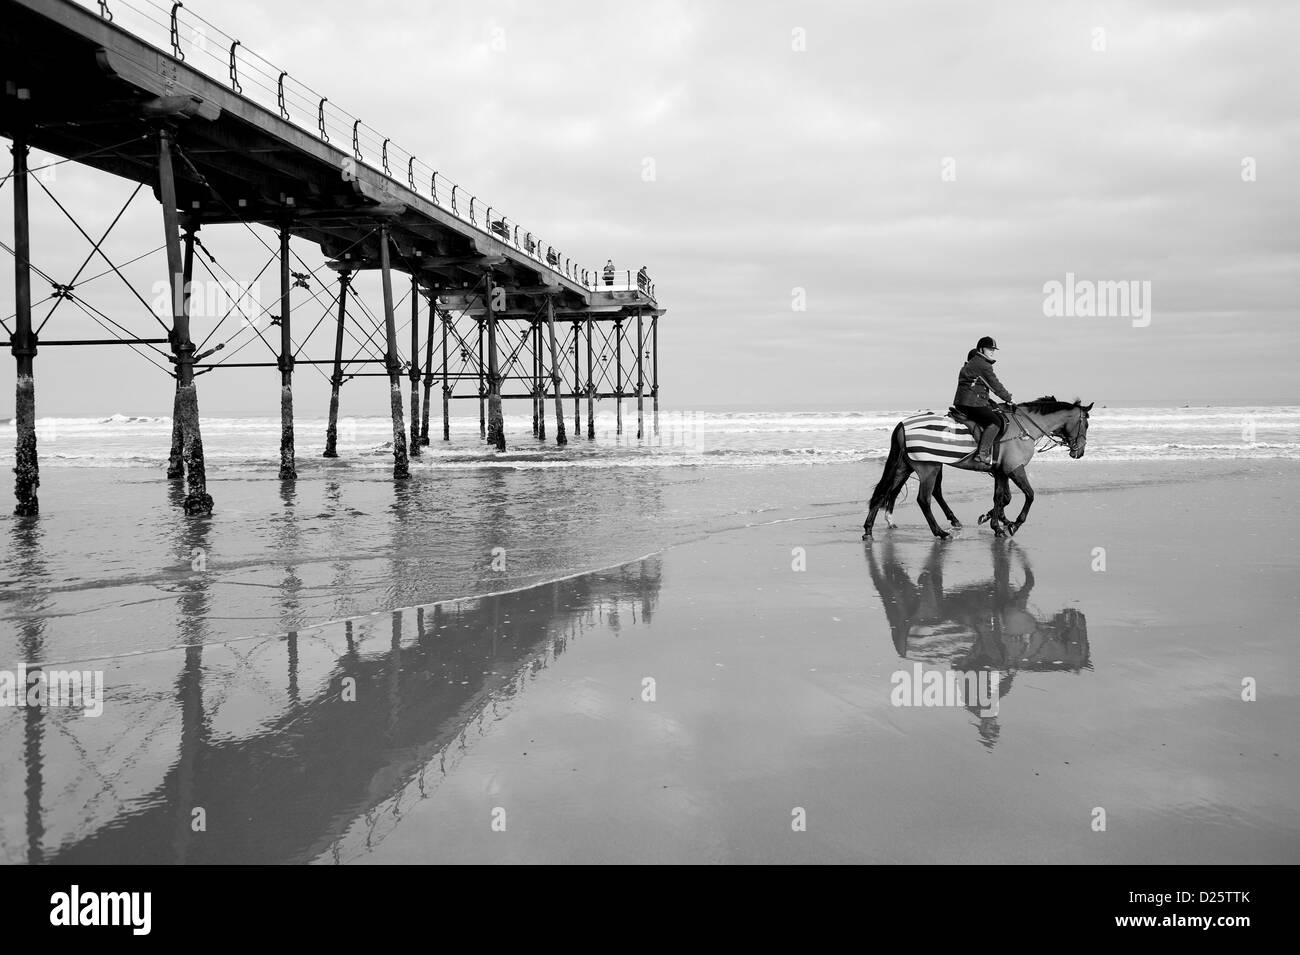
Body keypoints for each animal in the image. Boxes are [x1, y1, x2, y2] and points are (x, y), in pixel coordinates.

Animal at [868, 397, 1092, 540]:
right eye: (1087, 425)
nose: (1079, 452)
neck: (1024, 427)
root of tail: (902, 424)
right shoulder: (1015, 468)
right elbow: (1029, 495)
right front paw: (1012, 524)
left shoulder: (1001, 471)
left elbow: (1002, 497)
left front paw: (995, 521)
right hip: (928, 468)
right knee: (924, 499)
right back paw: (941, 532)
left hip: (905, 467)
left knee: (884, 492)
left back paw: (869, 530)